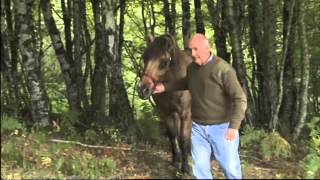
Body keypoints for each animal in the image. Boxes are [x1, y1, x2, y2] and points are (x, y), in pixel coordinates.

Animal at [137, 34, 192, 174]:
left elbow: (183, 139)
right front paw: (176, 161)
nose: (143, 89)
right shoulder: (165, 113)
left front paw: (185, 168)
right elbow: (172, 135)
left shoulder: (185, 114)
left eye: (164, 62)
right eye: (144, 58)